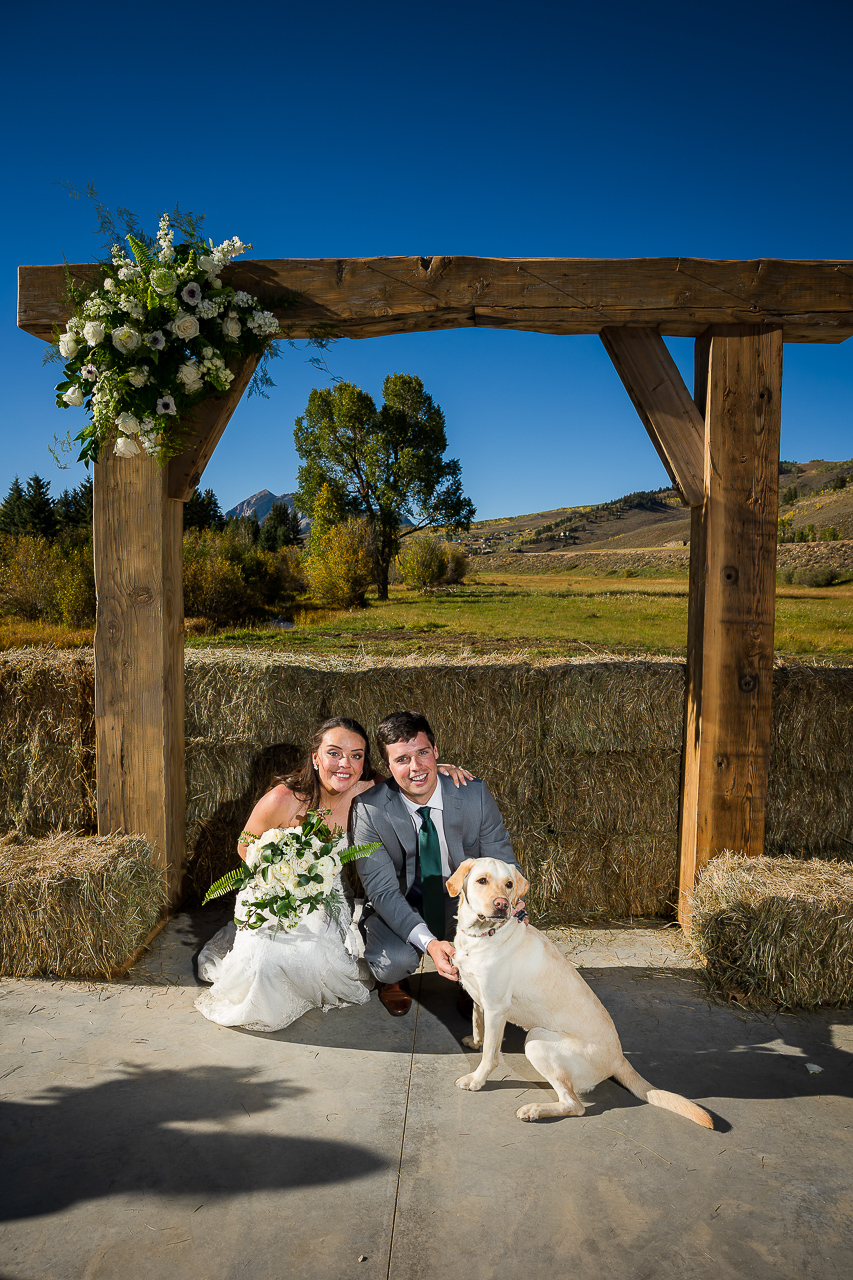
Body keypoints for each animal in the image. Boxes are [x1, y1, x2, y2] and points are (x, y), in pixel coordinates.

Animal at [445, 855, 712, 1126]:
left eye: (509, 884)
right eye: (482, 880)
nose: (502, 905)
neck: (480, 937)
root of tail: (619, 1058)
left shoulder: (496, 1009)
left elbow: (490, 1054)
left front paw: (476, 1079)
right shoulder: (480, 1001)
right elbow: (478, 1027)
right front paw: (474, 1042)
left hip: (536, 1041)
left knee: (574, 1105)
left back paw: (535, 1109)